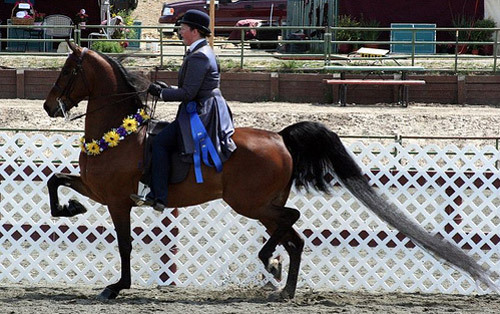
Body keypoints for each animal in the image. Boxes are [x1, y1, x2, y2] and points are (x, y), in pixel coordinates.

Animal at [44, 41, 500, 300]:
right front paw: (70, 209)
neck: (118, 133)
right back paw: (284, 283)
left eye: (68, 71)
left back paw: (272, 266)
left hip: (250, 203)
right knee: (293, 238)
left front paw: (116, 287)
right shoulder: (97, 189)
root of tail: (280, 137)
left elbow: (124, 245)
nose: (50, 106)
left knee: (292, 223)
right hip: (262, 207)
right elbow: (56, 181)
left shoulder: (118, 200)